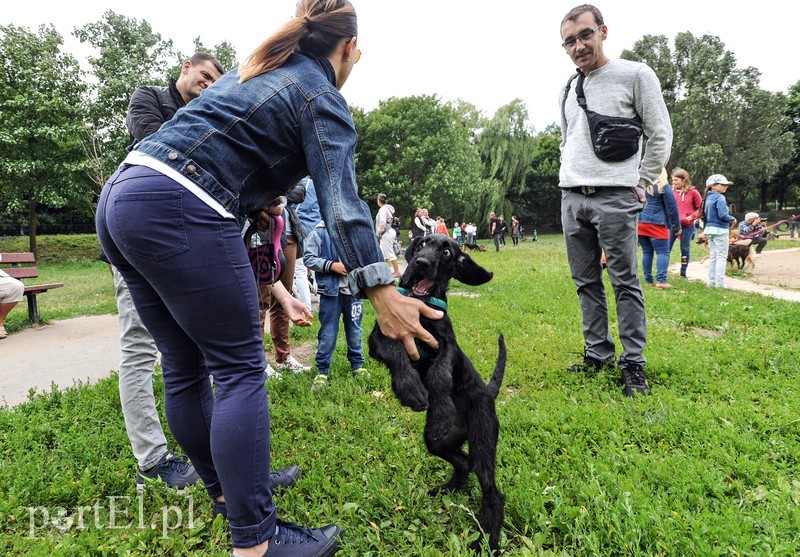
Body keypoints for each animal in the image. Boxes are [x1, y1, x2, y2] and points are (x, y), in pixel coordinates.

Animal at [368, 235, 506, 552]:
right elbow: (396, 351)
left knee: (492, 490)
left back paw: (489, 540)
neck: (421, 306)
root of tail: (488, 394)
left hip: (483, 441)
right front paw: (410, 389)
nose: (421, 263)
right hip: (438, 443)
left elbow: (440, 374)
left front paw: (440, 411)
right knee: (463, 462)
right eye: (420, 245)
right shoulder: (379, 336)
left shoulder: (448, 346)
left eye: (446, 252)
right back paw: (449, 488)